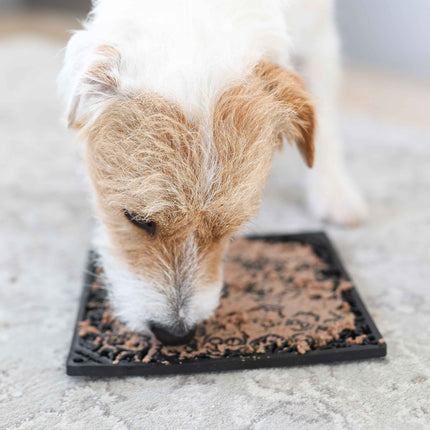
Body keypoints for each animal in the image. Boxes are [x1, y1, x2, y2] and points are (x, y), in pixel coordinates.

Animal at [57, 0, 366, 342]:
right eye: (137, 220)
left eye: (232, 229)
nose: (175, 334)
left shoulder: (320, 38)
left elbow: (325, 121)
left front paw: (334, 192)